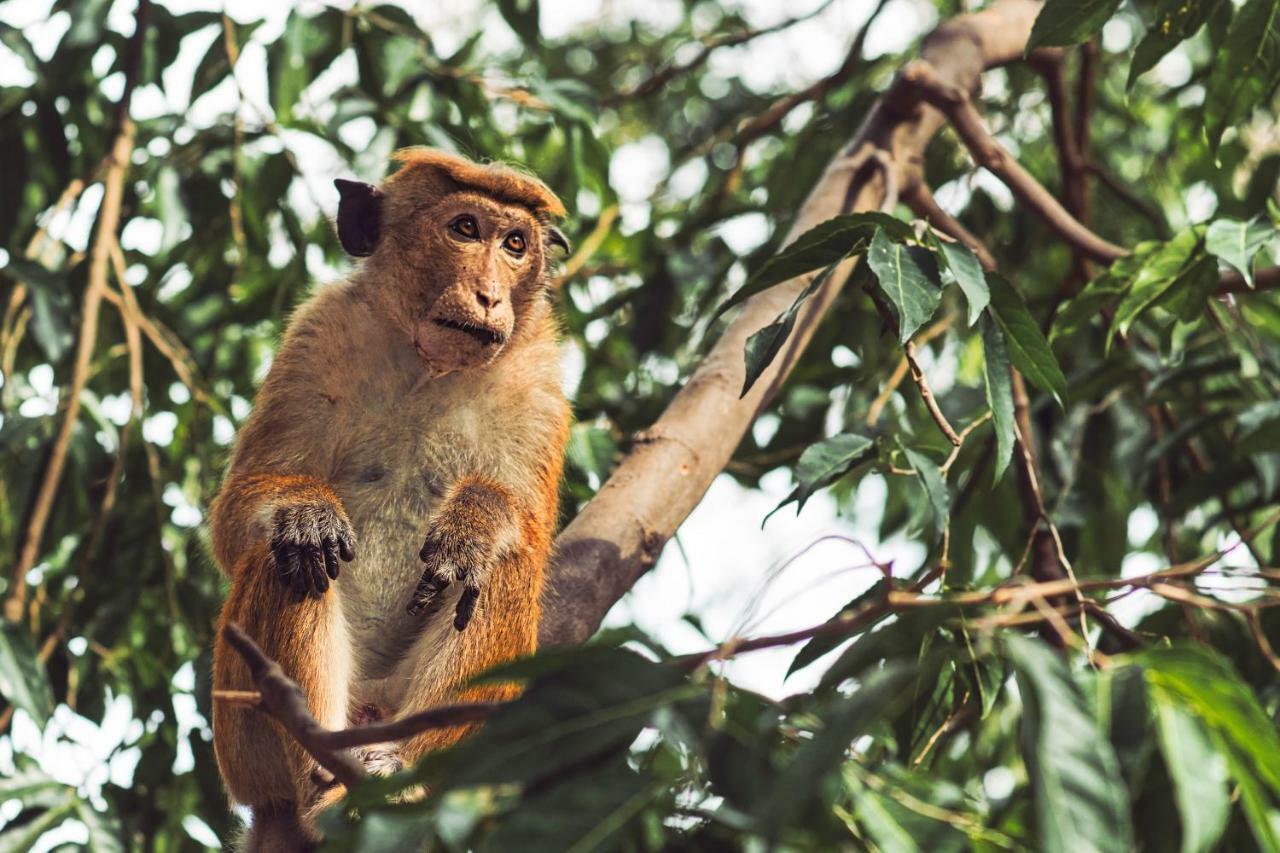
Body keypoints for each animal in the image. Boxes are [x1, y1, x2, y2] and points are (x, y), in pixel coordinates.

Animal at [208, 149, 570, 845]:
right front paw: (305, 512)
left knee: (499, 570)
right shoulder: (315, 337)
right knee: (285, 557)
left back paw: (401, 772)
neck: (429, 366)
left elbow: (527, 537)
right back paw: (319, 771)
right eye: (464, 229)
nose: (489, 296)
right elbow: (240, 519)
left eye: (515, 244)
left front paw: (475, 526)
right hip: (244, 752)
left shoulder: (539, 384)